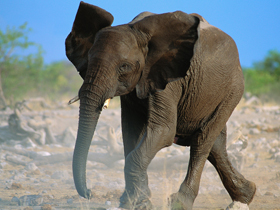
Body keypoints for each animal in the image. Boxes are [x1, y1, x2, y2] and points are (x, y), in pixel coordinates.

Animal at [65, 2, 256, 210]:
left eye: (124, 66)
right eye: (89, 60)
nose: (89, 193)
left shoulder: (168, 78)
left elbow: (163, 131)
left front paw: (139, 202)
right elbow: (131, 132)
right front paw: (133, 201)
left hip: (232, 89)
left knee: (202, 140)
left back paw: (181, 203)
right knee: (216, 144)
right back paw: (246, 195)